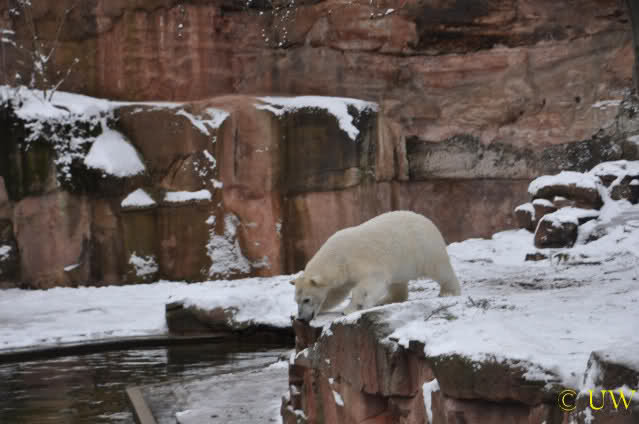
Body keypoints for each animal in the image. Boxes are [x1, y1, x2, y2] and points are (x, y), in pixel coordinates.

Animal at [292, 210, 461, 321]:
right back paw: (386, 300)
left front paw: (351, 308)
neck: (336, 257)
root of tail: (428, 221)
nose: (301, 318)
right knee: (398, 284)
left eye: (306, 299)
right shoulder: (343, 274)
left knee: (440, 270)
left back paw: (448, 292)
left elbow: (371, 282)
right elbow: (335, 293)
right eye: (297, 300)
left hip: (424, 249)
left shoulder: (359, 262)